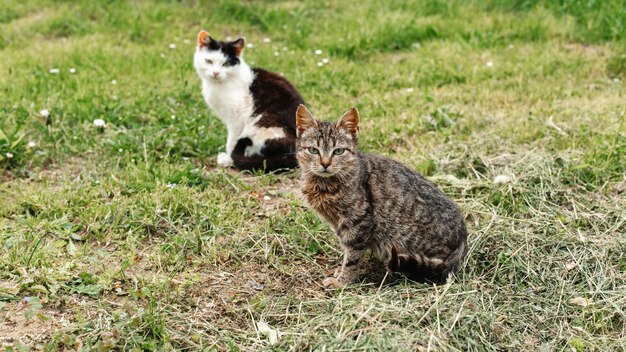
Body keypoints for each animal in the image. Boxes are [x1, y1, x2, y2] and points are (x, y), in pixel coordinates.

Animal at [193, 31, 304, 171]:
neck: (220, 84)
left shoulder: (236, 118)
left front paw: (228, 159)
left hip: (261, 124)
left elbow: (232, 140)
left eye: (226, 64)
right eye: (209, 61)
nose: (216, 73)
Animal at [294, 104, 466, 286]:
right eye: (313, 150)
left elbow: (352, 257)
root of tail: (464, 236)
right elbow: (346, 251)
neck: (324, 184)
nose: (325, 164)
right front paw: (340, 273)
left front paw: (343, 281)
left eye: (338, 151)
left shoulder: (358, 222)